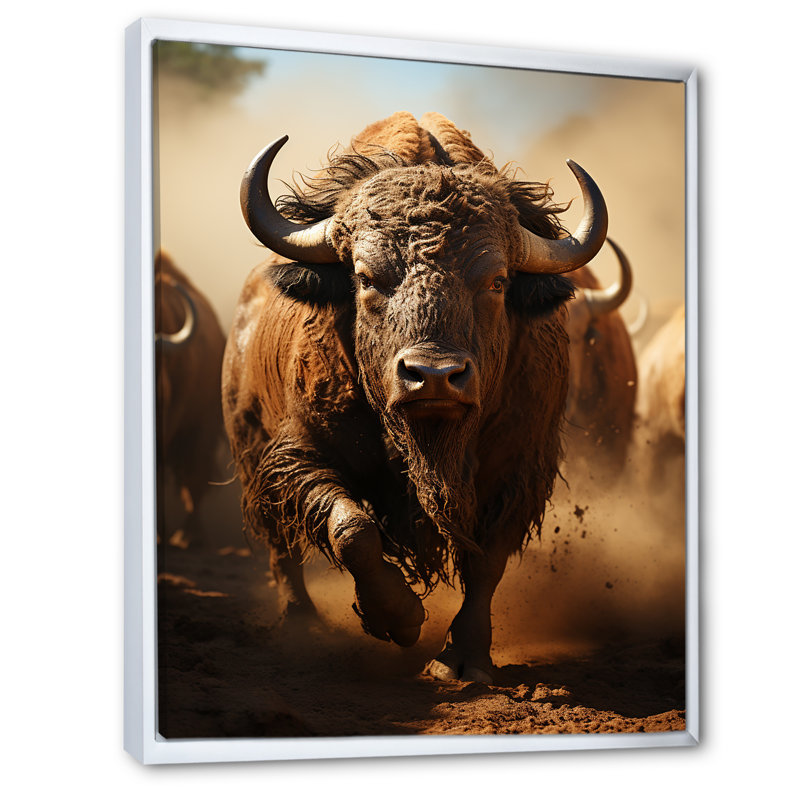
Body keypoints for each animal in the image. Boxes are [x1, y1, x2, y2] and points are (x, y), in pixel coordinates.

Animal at [223, 112, 610, 681]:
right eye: (365, 278)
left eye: (497, 281)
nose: (433, 376)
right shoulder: (297, 455)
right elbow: (352, 528)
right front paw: (400, 619)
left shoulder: (520, 470)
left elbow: (487, 562)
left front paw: (462, 660)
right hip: (251, 450)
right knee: (281, 545)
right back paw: (302, 625)